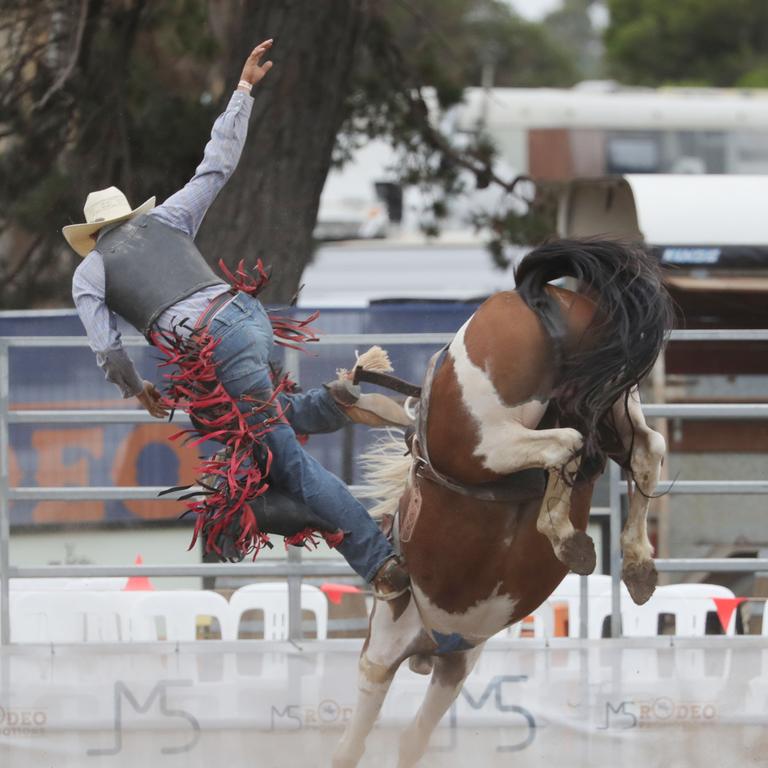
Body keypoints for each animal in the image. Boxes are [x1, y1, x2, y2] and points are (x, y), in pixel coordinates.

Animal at [330, 240, 672, 768]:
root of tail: (533, 292)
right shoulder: (454, 665)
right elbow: (412, 739)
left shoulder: (383, 653)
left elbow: (355, 743)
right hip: (612, 400)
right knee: (641, 449)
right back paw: (633, 563)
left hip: (489, 436)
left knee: (563, 445)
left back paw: (566, 536)